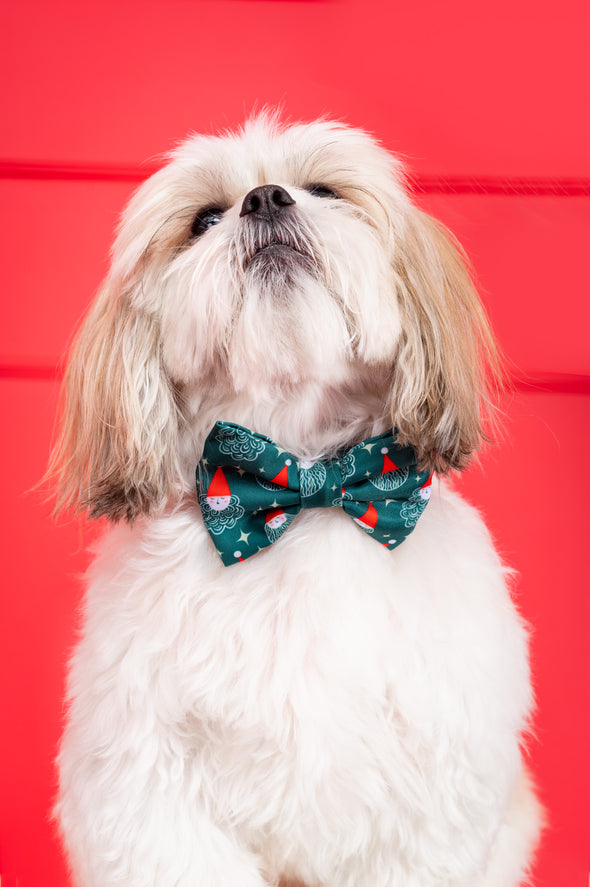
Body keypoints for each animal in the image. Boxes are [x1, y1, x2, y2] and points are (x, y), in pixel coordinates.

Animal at [48, 114, 544, 884]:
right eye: (203, 219)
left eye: (325, 190)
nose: (265, 199)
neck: (303, 482)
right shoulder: (151, 793)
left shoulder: (427, 800)